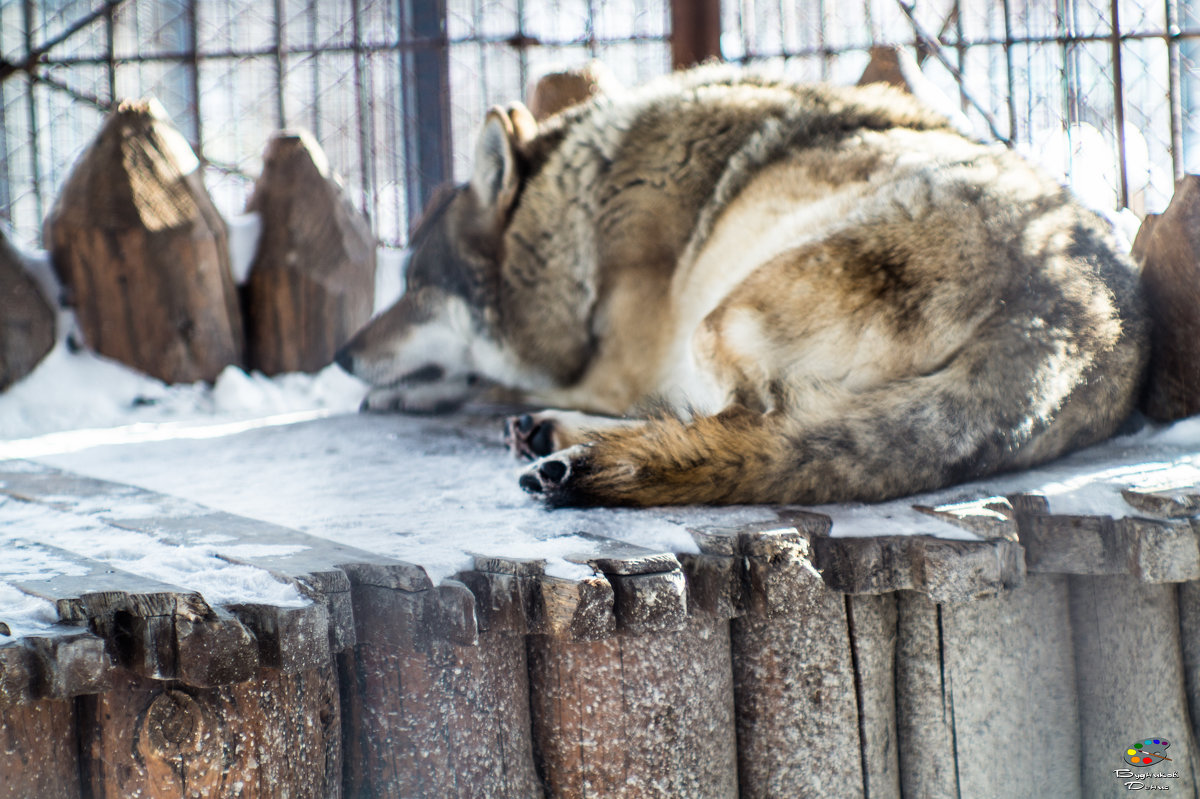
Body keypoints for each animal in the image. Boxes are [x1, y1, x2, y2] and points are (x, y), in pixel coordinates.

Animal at [333, 66, 1147, 503]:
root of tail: (1070, 315)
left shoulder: (615, 369)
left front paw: (405, 395)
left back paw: (562, 447)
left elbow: (484, 380)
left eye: (413, 288)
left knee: (739, 426)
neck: (579, 216)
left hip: (718, 321)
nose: (340, 355)